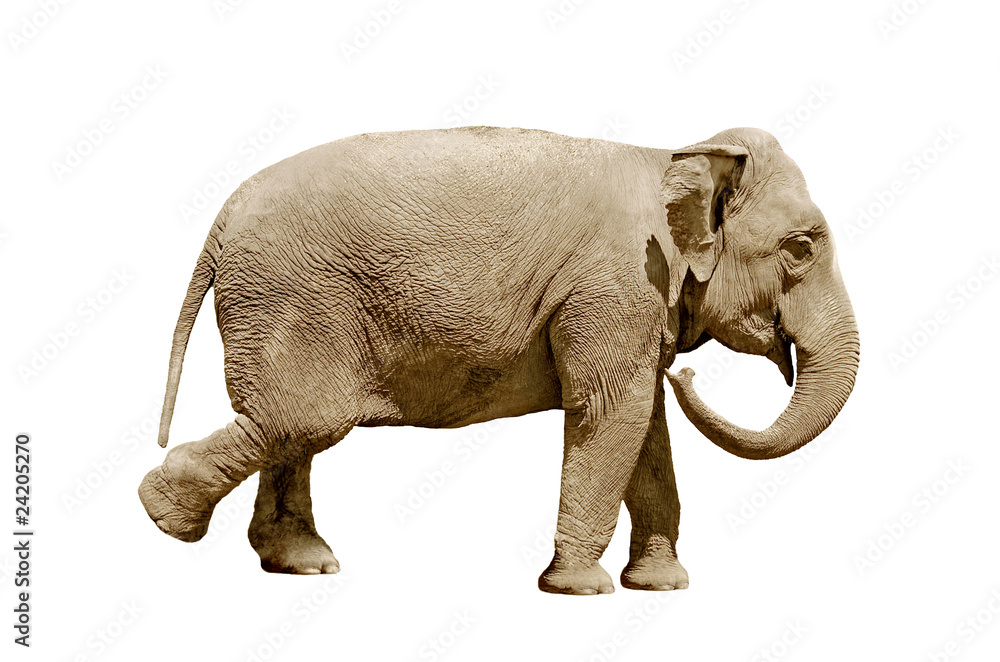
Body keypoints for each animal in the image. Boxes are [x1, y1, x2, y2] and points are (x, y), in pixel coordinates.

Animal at [139, 125, 859, 595]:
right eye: (800, 248)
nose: (691, 374)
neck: (675, 154)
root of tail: (221, 221)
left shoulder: (634, 306)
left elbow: (645, 426)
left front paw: (661, 586)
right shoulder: (615, 289)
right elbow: (611, 415)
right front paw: (580, 589)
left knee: (289, 426)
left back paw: (301, 564)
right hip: (291, 300)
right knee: (303, 418)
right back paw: (165, 514)